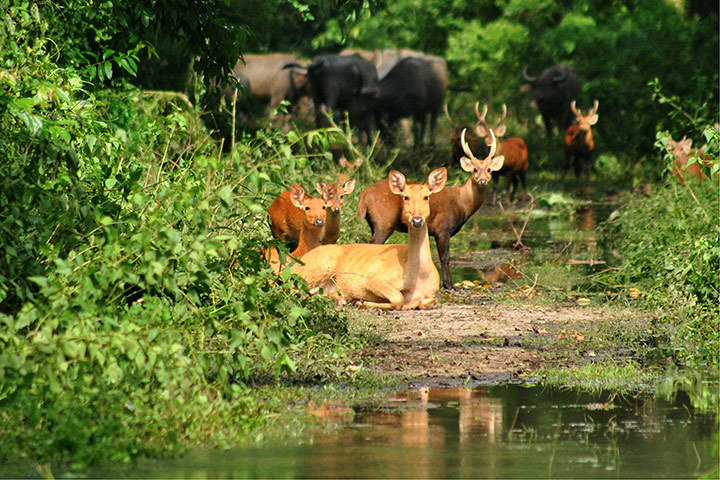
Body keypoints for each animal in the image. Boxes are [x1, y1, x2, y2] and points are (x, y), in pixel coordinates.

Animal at [292, 169, 448, 312]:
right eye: (405, 197)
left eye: (426, 197)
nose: (417, 220)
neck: (419, 278)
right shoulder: (375, 279)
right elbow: (399, 299)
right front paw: (360, 302)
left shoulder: (433, 295)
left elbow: (429, 302)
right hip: (316, 268)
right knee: (294, 289)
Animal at [356, 127, 504, 288]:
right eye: (475, 170)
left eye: (489, 170)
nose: (483, 181)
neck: (462, 203)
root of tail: (364, 194)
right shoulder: (443, 228)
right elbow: (445, 258)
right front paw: (449, 285)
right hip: (384, 222)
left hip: (374, 223)